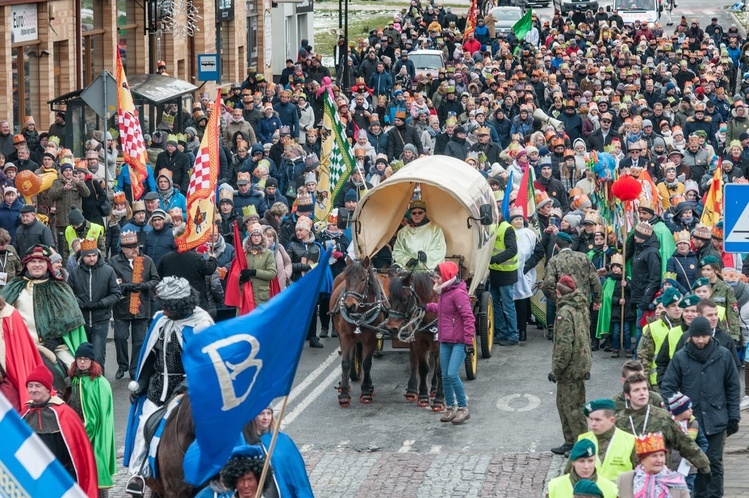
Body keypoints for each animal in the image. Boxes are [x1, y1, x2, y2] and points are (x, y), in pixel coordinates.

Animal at [334, 258, 388, 406]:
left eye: (363, 279)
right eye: (346, 279)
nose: (349, 305)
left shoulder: (372, 338)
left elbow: (367, 363)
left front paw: (366, 391)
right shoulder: (346, 337)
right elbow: (346, 362)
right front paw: (344, 394)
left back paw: (368, 385)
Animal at [386, 272, 444, 412]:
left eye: (404, 299)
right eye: (389, 299)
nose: (391, 327)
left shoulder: (441, 344)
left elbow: (440, 370)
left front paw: (439, 399)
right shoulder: (419, 342)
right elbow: (423, 368)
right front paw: (423, 397)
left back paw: (434, 389)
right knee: (414, 359)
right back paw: (412, 390)